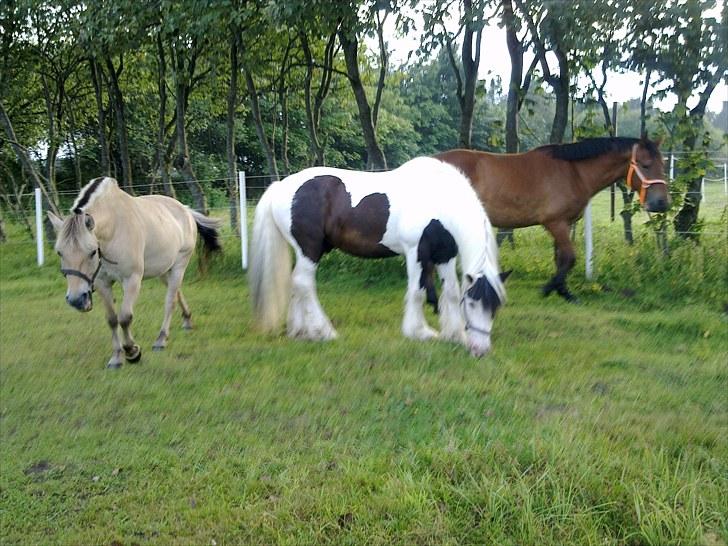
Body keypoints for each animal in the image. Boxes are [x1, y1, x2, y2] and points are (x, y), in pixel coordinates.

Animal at [48, 176, 220, 368]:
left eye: (92, 252)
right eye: (59, 252)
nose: (76, 300)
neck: (114, 227)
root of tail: (186, 210)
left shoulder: (132, 280)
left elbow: (125, 317)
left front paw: (132, 352)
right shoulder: (102, 283)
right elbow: (112, 319)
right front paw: (116, 357)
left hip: (179, 265)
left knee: (170, 301)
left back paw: (161, 339)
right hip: (164, 270)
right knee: (176, 292)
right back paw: (187, 320)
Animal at [247, 156, 510, 356]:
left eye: (496, 306)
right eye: (473, 303)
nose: (480, 350)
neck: (438, 202)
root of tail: (280, 186)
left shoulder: (445, 254)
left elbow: (452, 293)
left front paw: (455, 335)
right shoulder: (416, 251)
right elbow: (417, 292)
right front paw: (419, 332)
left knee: (296, 283)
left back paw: (301, 332)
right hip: (309, 249)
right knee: (304, 283)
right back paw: (325, 332)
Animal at [436, 135, 668, 298]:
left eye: (663, 165)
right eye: (645, 165)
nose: (662, 203)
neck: (574, 172)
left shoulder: (564, 224)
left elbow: (560, 258)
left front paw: (563, 291)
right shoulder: (555, 223)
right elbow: (570, 257)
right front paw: (550, 288)